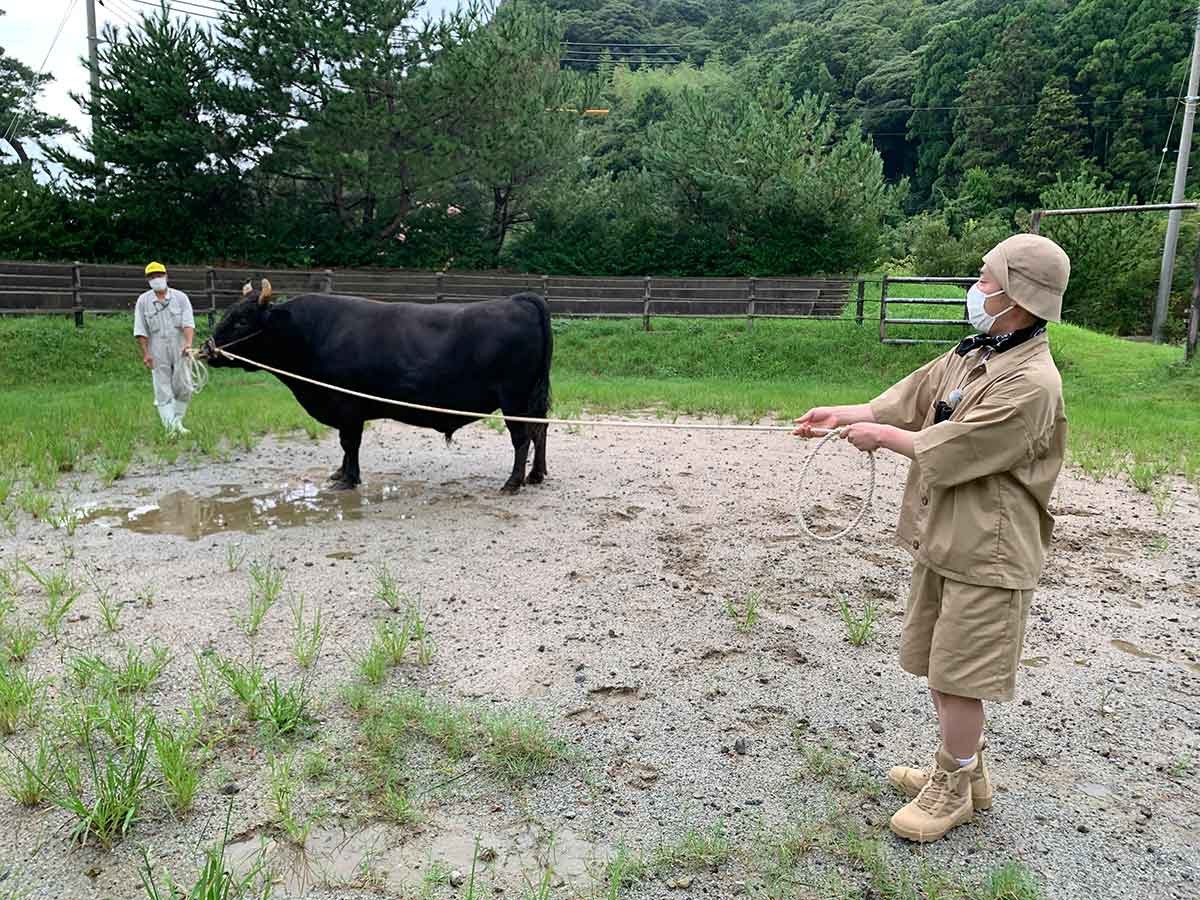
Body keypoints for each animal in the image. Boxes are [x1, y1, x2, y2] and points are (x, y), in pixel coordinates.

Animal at [205, 280, 552, 496]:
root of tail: (517, 300)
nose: (208, 348)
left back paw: (513, 482)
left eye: (241, 320)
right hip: (531, 398)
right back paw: (536, 475)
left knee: (522, 437)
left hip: (514, 398)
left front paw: (348, 479)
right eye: (227, 313)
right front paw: (340, 473)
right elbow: (346, 445)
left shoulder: (346, 406)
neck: (309, 333)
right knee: (540, 430)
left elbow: (349, 443)